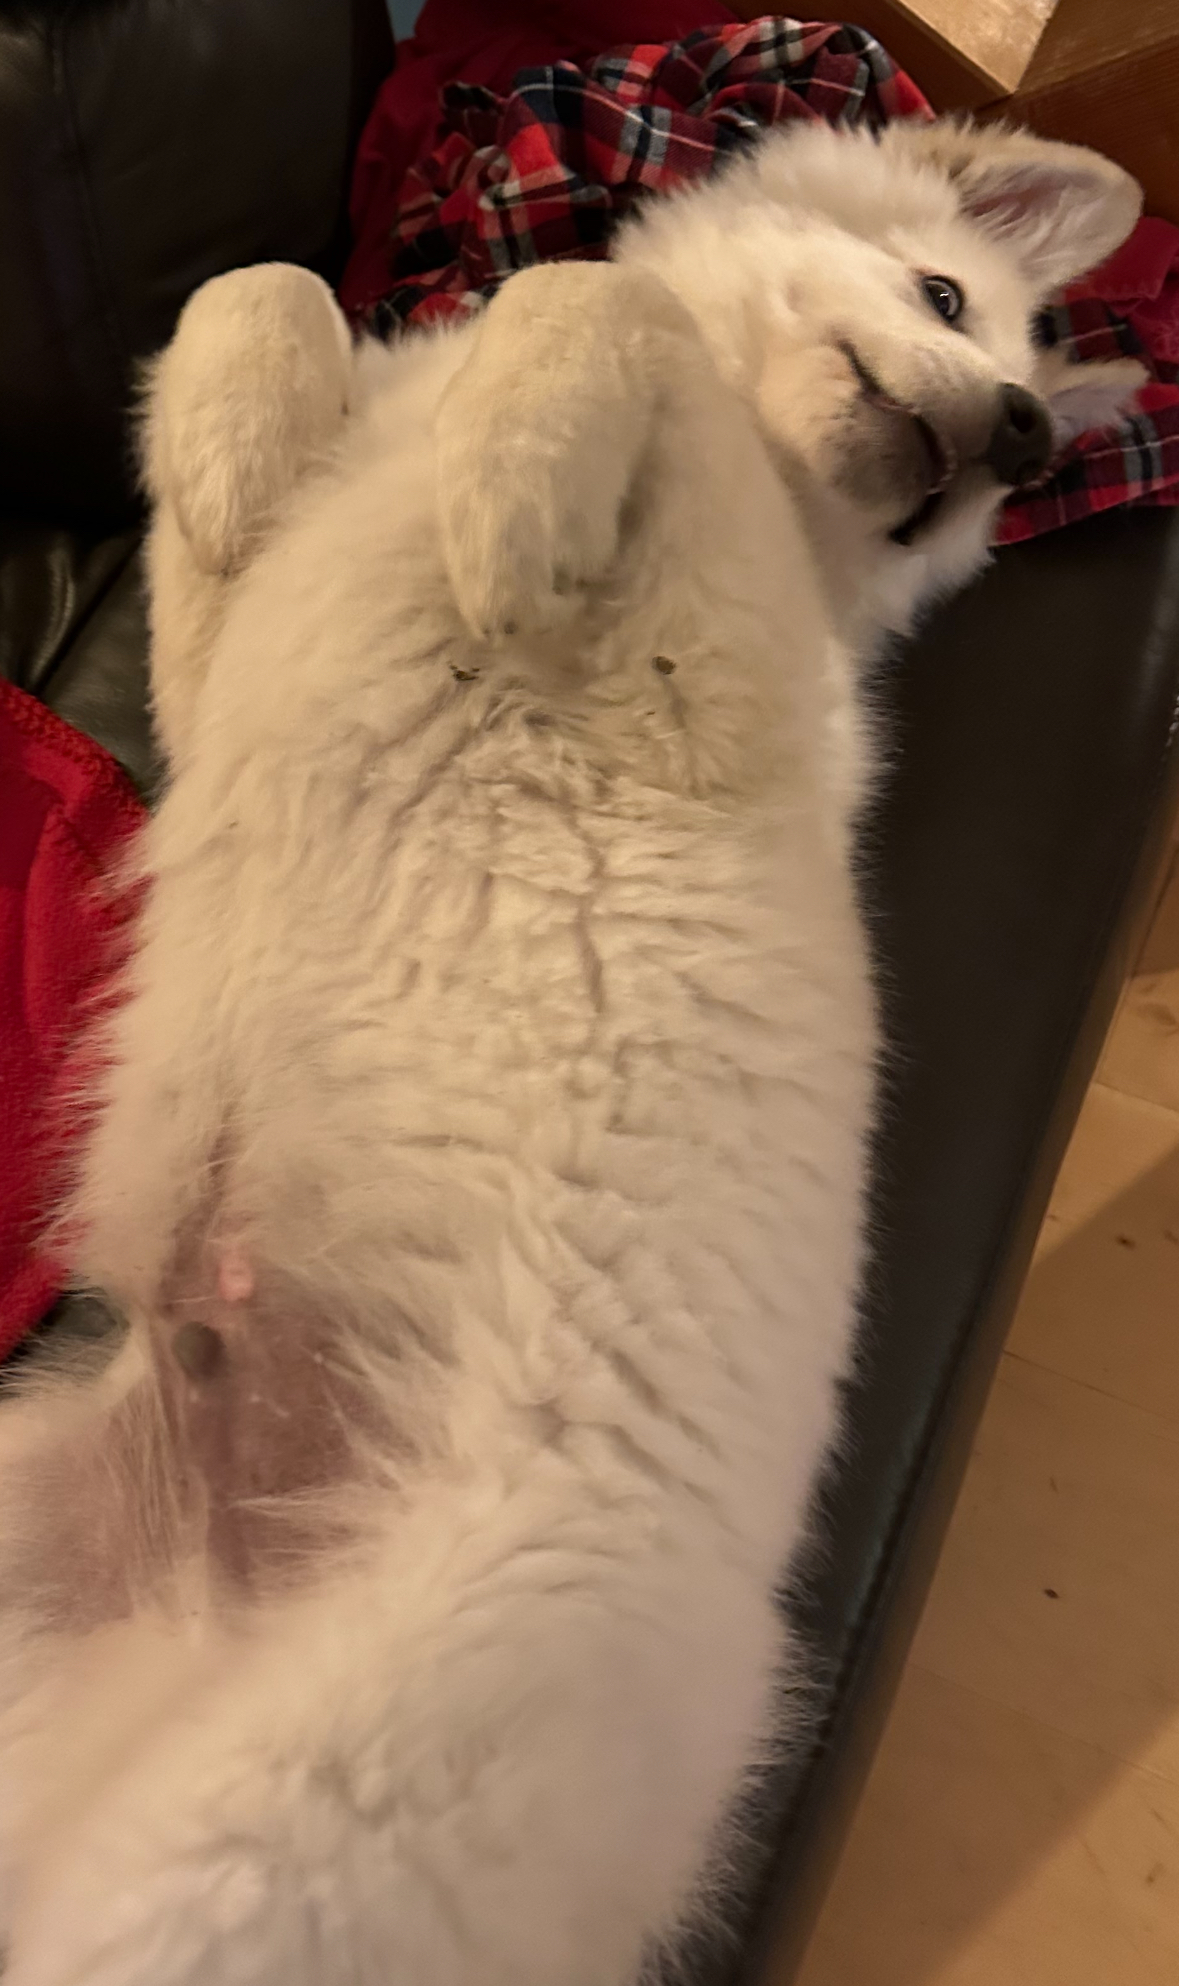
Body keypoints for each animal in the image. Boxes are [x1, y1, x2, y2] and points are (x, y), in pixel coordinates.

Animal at [0, 118, 1141, 1985]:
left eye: (988, 482)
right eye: (945, 297)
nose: (1020, 434)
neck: (778, 477)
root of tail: (205, 1578)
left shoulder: (700, 679)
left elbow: (597, 300)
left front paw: (505, 500)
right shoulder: (204, 666)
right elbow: (267, 285)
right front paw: (235, 444)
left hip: (275, 1840)